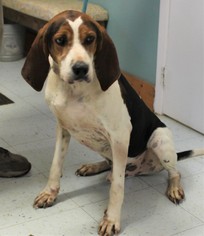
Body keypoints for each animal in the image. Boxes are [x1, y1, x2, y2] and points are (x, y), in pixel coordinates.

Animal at [21, 10, 204, 235]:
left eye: (90, 39)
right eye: (60, 40)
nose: (81, 68)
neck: (75, 92)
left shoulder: (119, 136)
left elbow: (117, 187)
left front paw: (111, 219)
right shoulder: (63, 128)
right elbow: (55, 165)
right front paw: (50, 193)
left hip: (160, 141)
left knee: (174, 172)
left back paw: (175, 188)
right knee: (111, 165)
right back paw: (93, 166)